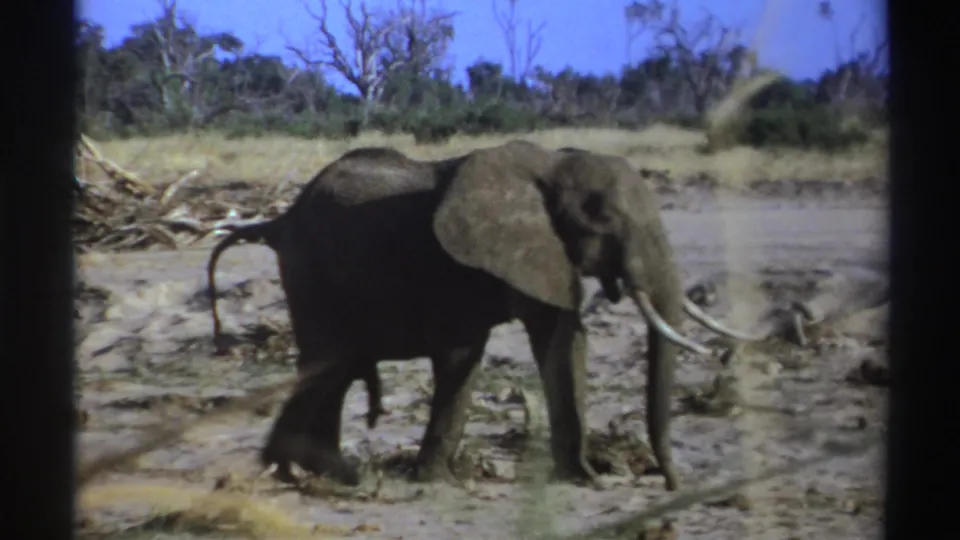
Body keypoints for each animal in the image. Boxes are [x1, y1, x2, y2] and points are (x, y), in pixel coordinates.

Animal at [205, 140, 759, 491]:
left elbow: (562, 341)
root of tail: (279, 219)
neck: (552, 164)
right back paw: (305, 470)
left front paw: (584, 478)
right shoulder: (461, 266)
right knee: (327, 362)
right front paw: (437, 481)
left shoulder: (542, 253)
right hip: (311, 272)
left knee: (333, 369)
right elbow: (463, 353)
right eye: (600, 217)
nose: (670, 485)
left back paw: (322, 471)